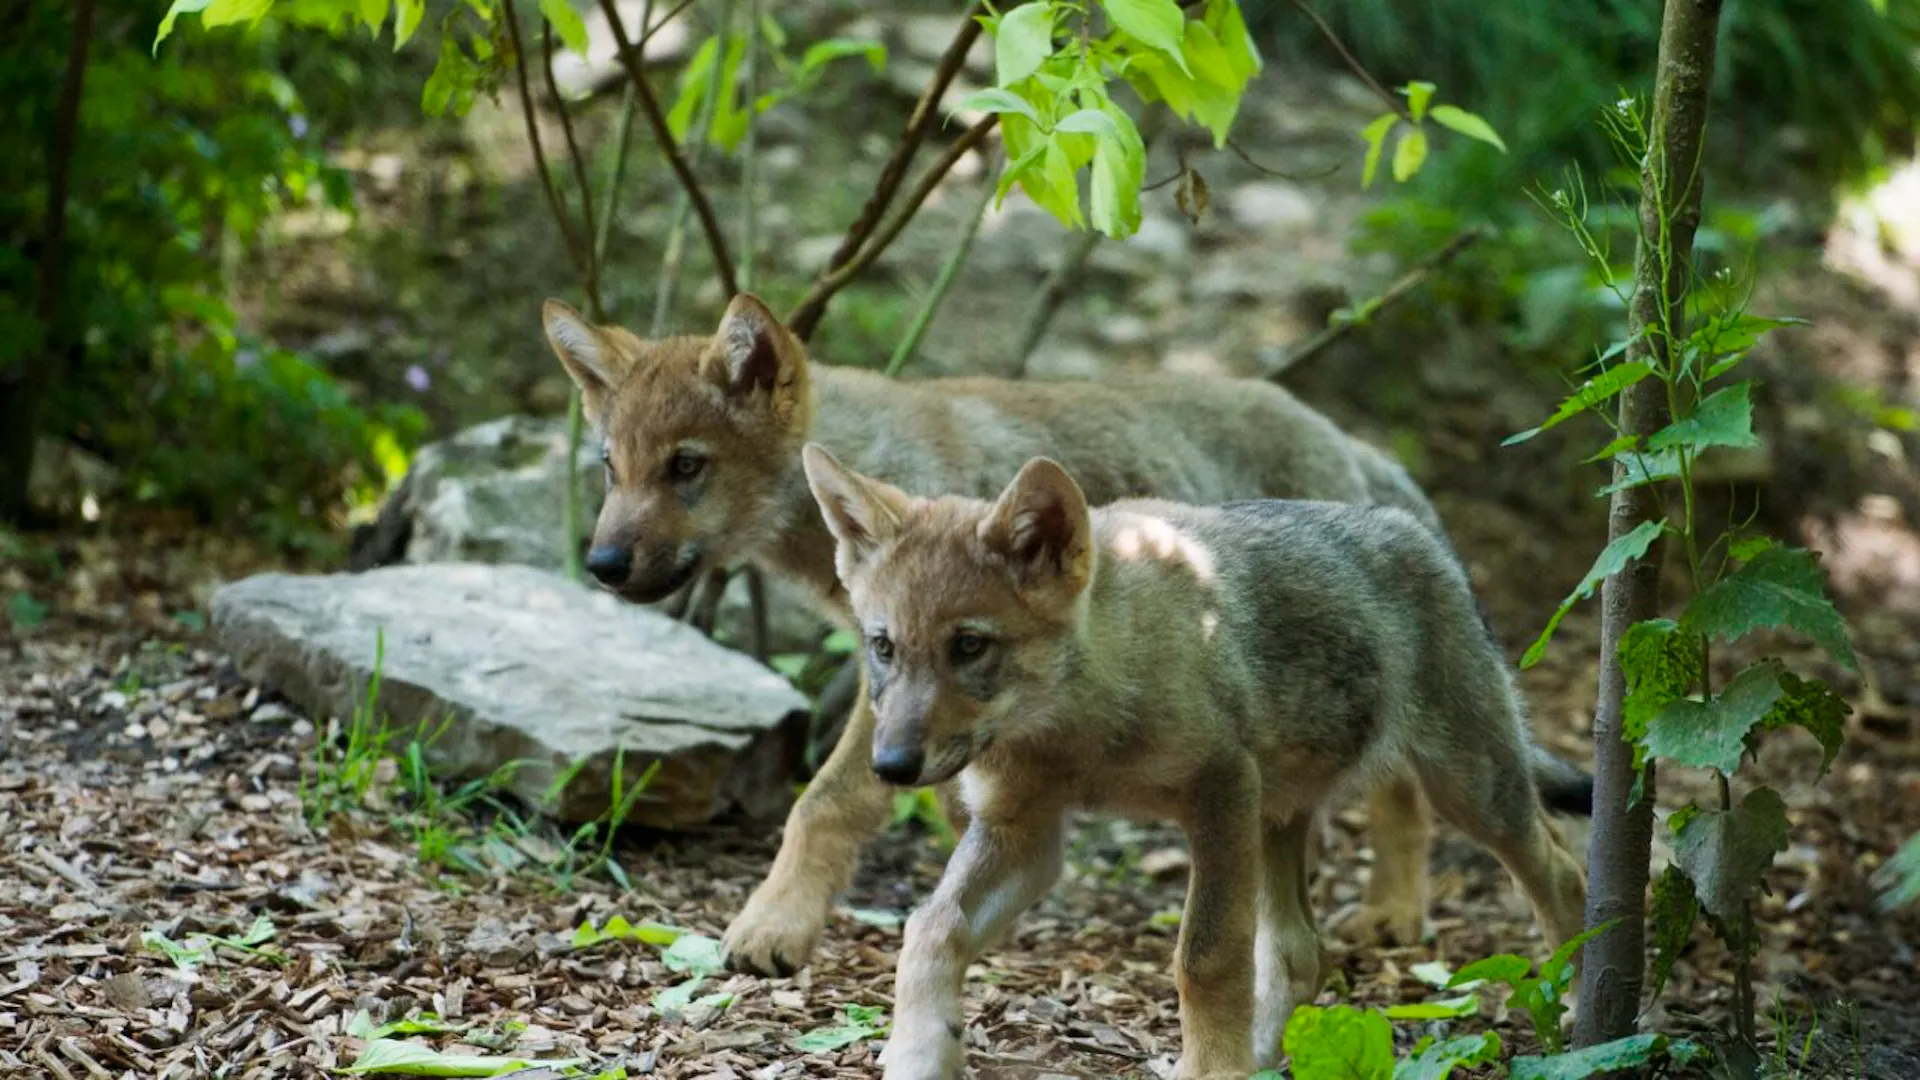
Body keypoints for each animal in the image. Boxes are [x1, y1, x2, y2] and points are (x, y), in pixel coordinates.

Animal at [541, 291, 1570, 976]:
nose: (601, 564)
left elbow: (825, 802)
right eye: (611, 466)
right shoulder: (897, 673)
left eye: (685, 467)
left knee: (1409, 788)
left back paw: (1395, 913)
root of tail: (1347, 440)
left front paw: (773, 929)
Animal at [799, 445, 1591, 1079]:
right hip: (1278, 817)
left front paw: (1212, 1071)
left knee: (1565, 871)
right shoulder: (1024, 834)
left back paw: (1582, 1004)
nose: (891, 765)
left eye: (969, 646)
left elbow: (1203, 959)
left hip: (1469, 792)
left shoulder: (1217, 796)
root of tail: (1423, 533)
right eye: (884, 647)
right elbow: (927, 930)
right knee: (1301, 952)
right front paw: (918, 1056)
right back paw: (1266, 1058)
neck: (1080, 732)